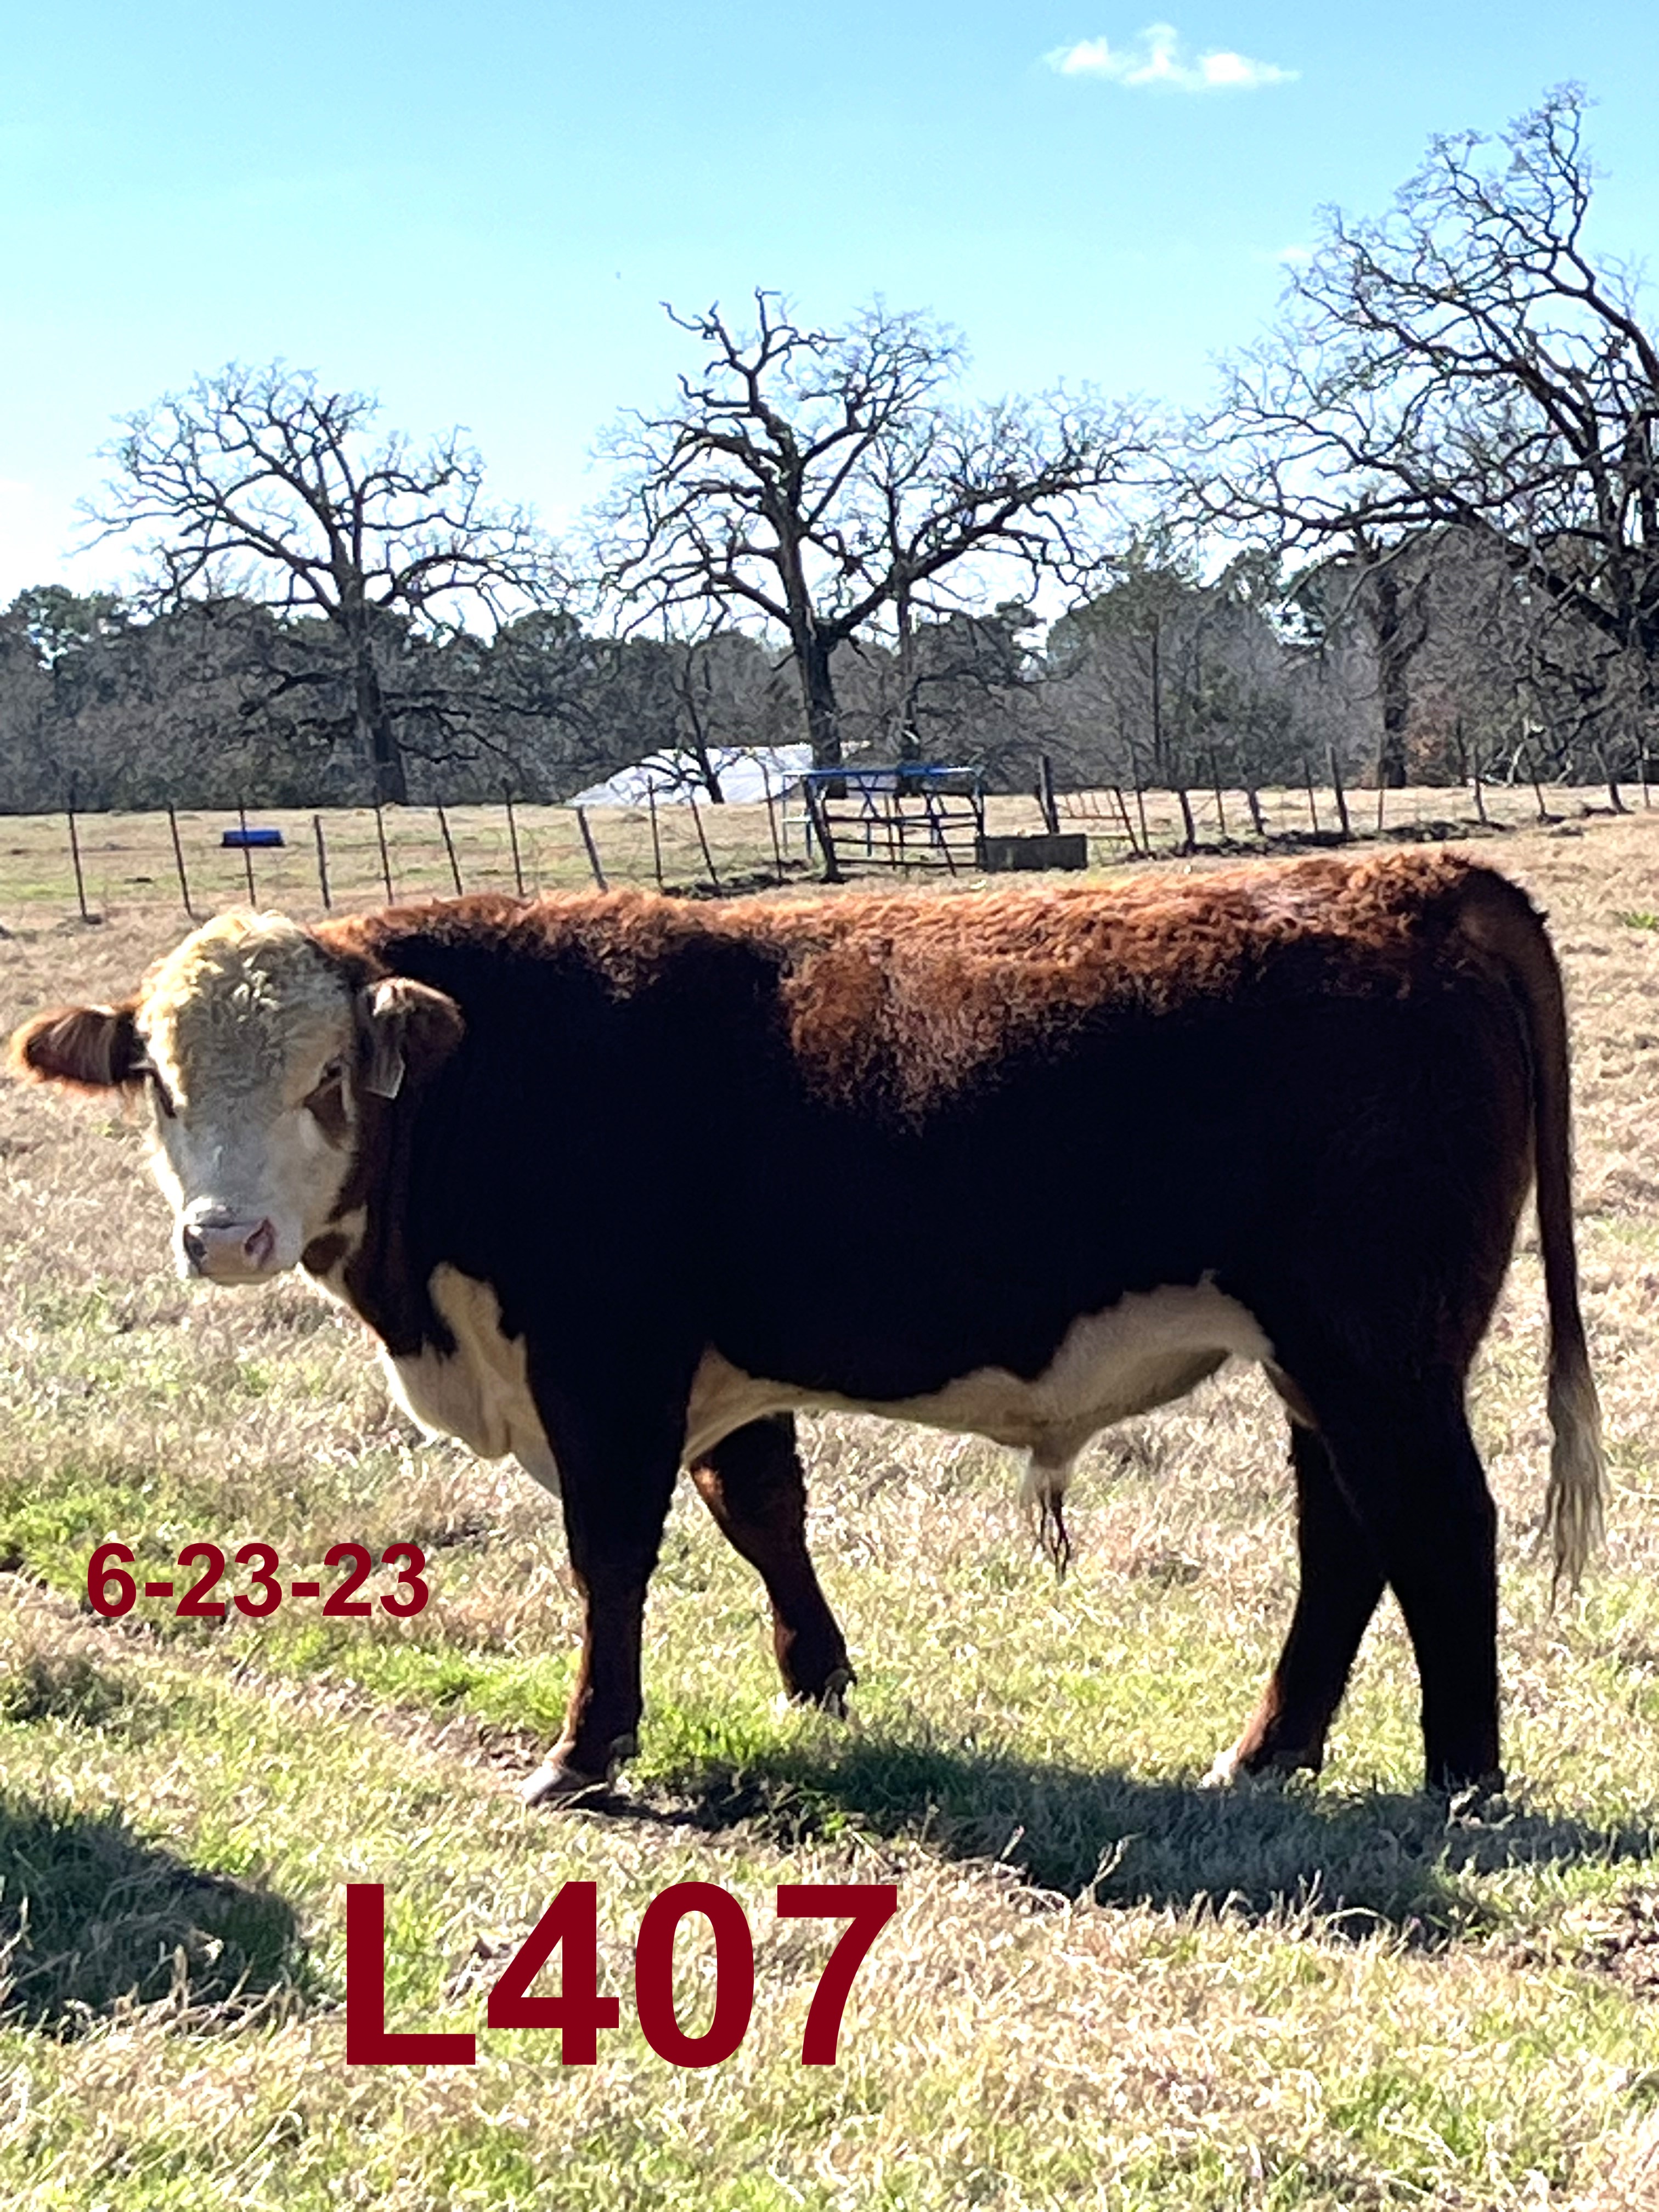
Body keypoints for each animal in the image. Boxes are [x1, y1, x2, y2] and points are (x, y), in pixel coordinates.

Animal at [9, 854, 1601, 1805]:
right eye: (156, 1078)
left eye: (328, 1077)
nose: (224, 1239)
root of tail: (1405, 875)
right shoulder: (716, 1364)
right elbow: (760, 1506)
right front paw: (818, 1683)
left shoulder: (607, 1365)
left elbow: (612, 1557)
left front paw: (587, 1753)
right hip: (1323, 1360)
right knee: (1346, 1537)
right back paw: (1271, 1753)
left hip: (1378, 1345)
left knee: (1435, 1526)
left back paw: (1461, 1777)